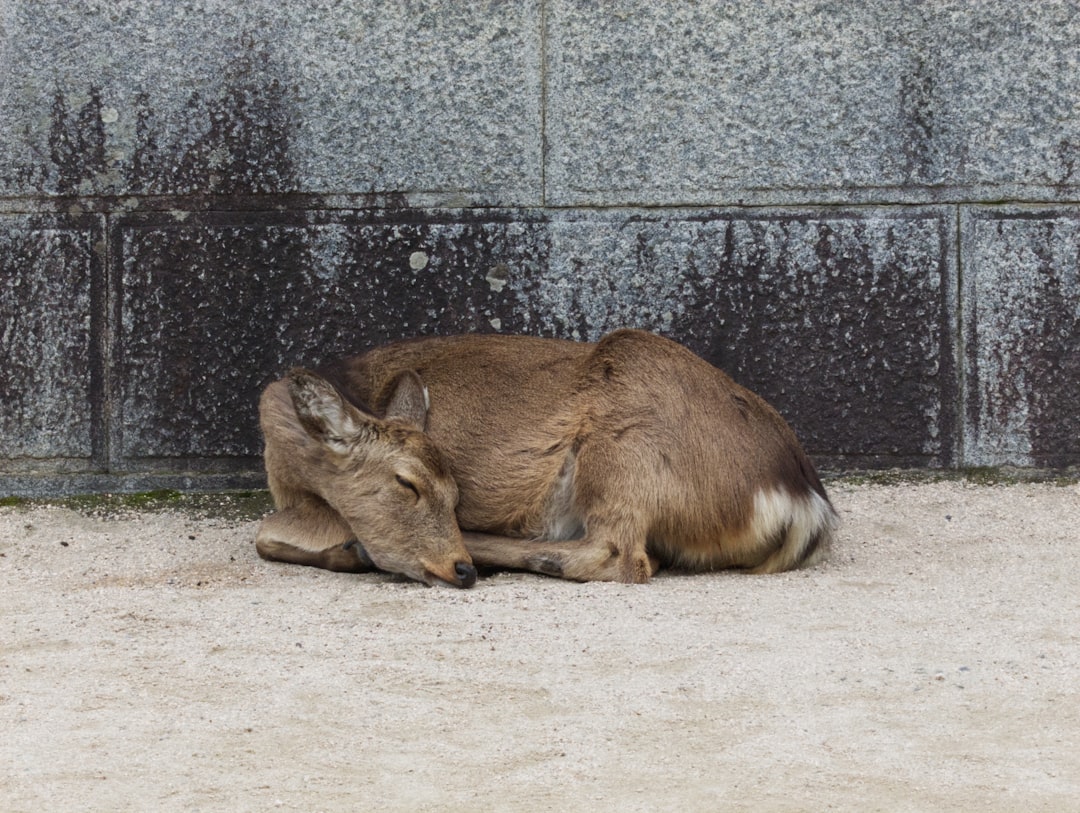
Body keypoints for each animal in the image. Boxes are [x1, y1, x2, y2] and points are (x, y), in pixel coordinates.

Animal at [252, 326, 833, 587]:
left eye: (452, 492)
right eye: (407, 483)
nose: (460, 568)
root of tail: (802, 498)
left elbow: (263, 532)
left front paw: (352, 548)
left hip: (624, 456)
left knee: (620, 555)